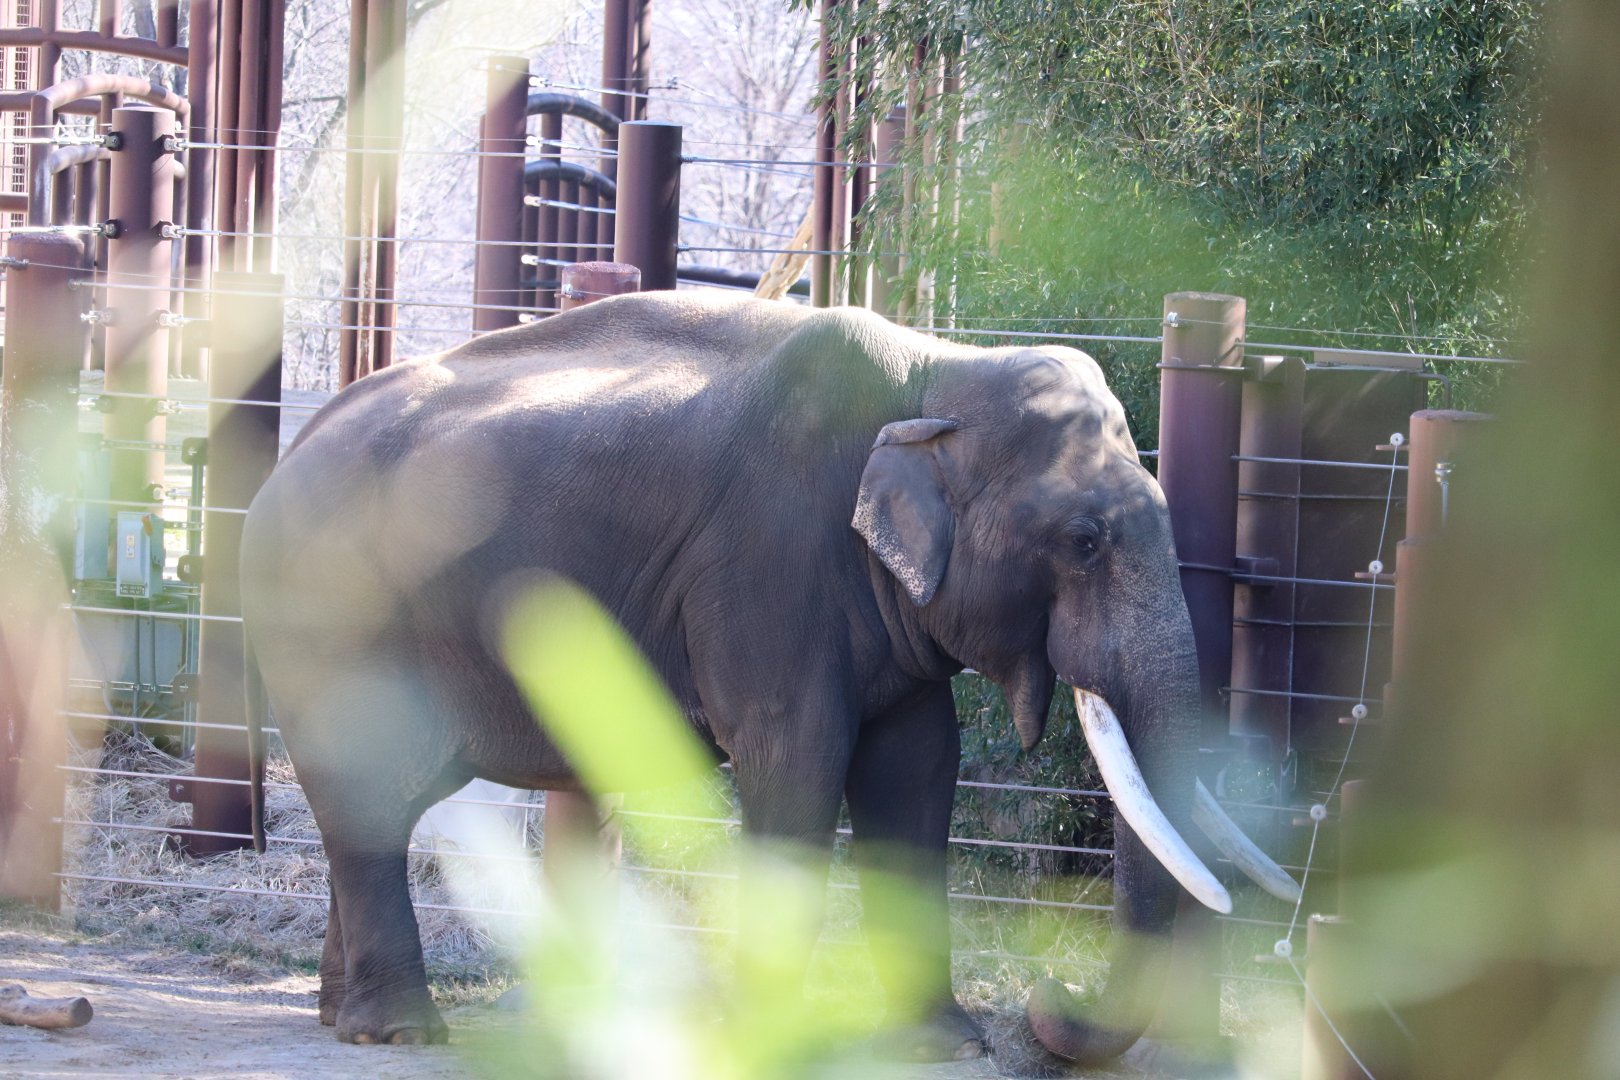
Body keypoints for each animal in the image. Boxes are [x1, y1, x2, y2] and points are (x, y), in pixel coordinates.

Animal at [238, 290, 1295, 1061]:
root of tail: (285, 457)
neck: (938, 370)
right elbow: (798, 757)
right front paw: (770, 1037)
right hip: (330, 624)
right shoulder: (768, 559)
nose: (1046, 997)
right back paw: (400, 1033)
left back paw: (340, 1016)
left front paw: (943, 1045)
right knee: (371, 798)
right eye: (1083, 541)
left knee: (373, 810)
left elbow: (916, 773)